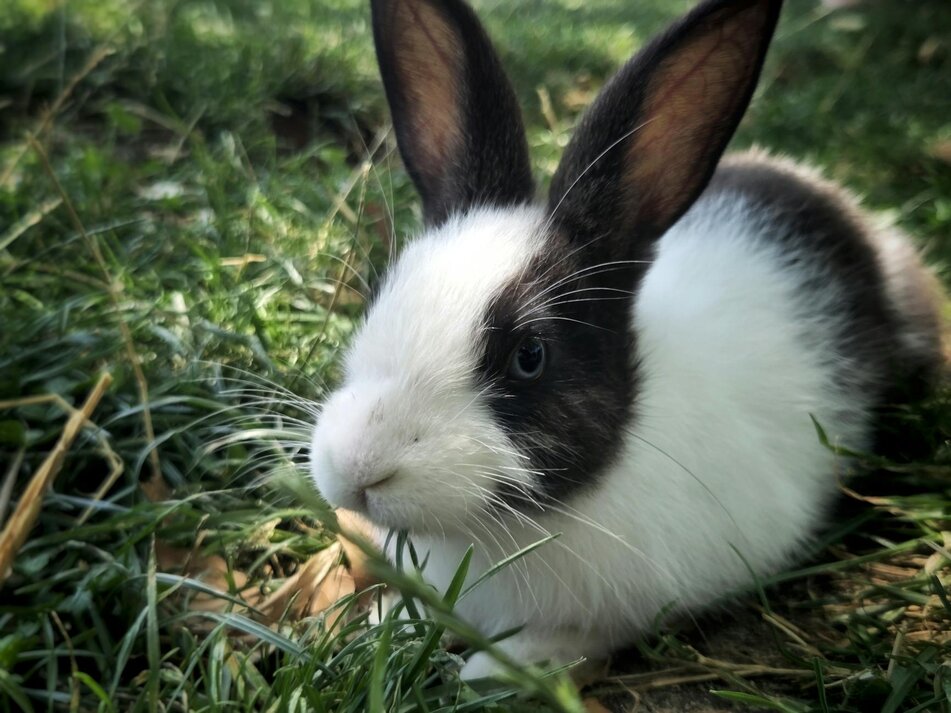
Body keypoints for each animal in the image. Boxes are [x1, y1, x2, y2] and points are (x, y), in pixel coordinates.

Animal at [309, 0, 943, 680]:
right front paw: (385, 627)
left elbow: (588, 637)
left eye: (529, 356)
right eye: (380, 297)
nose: (358, 469)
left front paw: (507, 667)